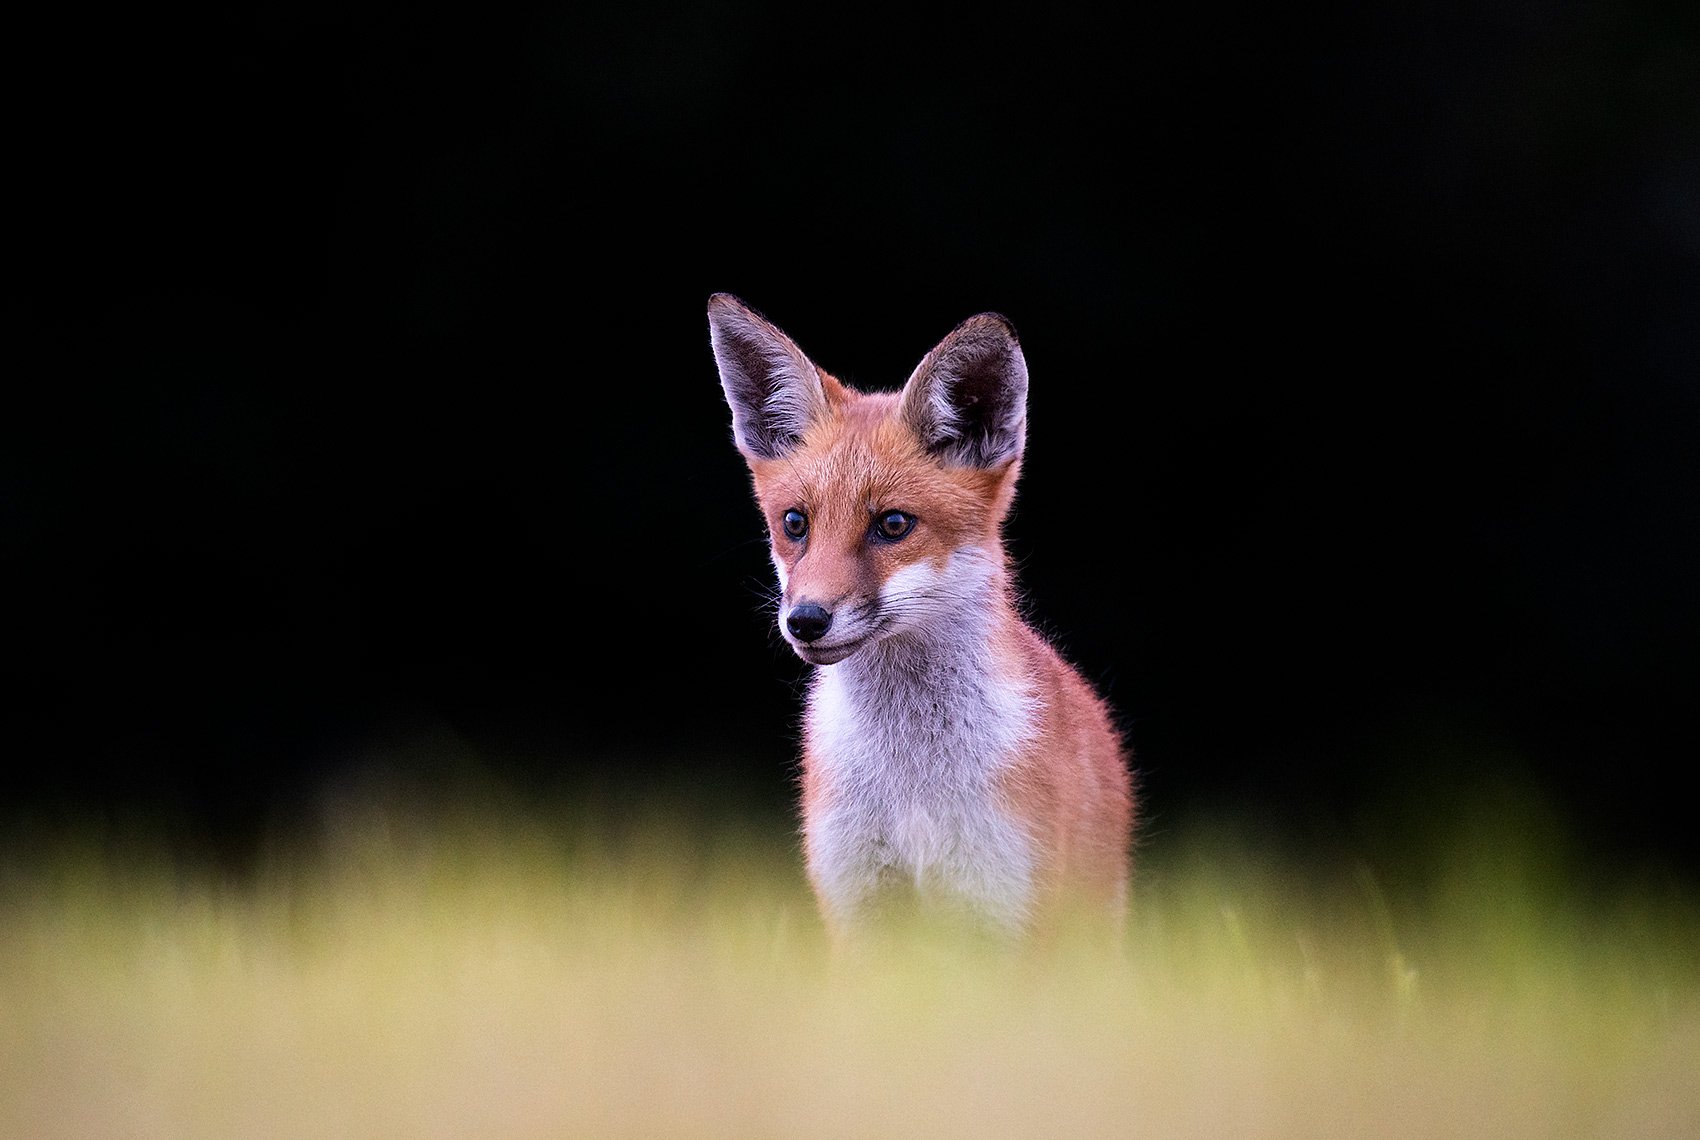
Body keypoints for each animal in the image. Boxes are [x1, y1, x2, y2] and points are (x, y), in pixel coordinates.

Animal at [707, 293, 1135, 945]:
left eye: (893, 525)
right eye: (795, 523)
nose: (805, 620)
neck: (911, 779)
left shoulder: (1001, 901)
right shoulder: (858, 900)